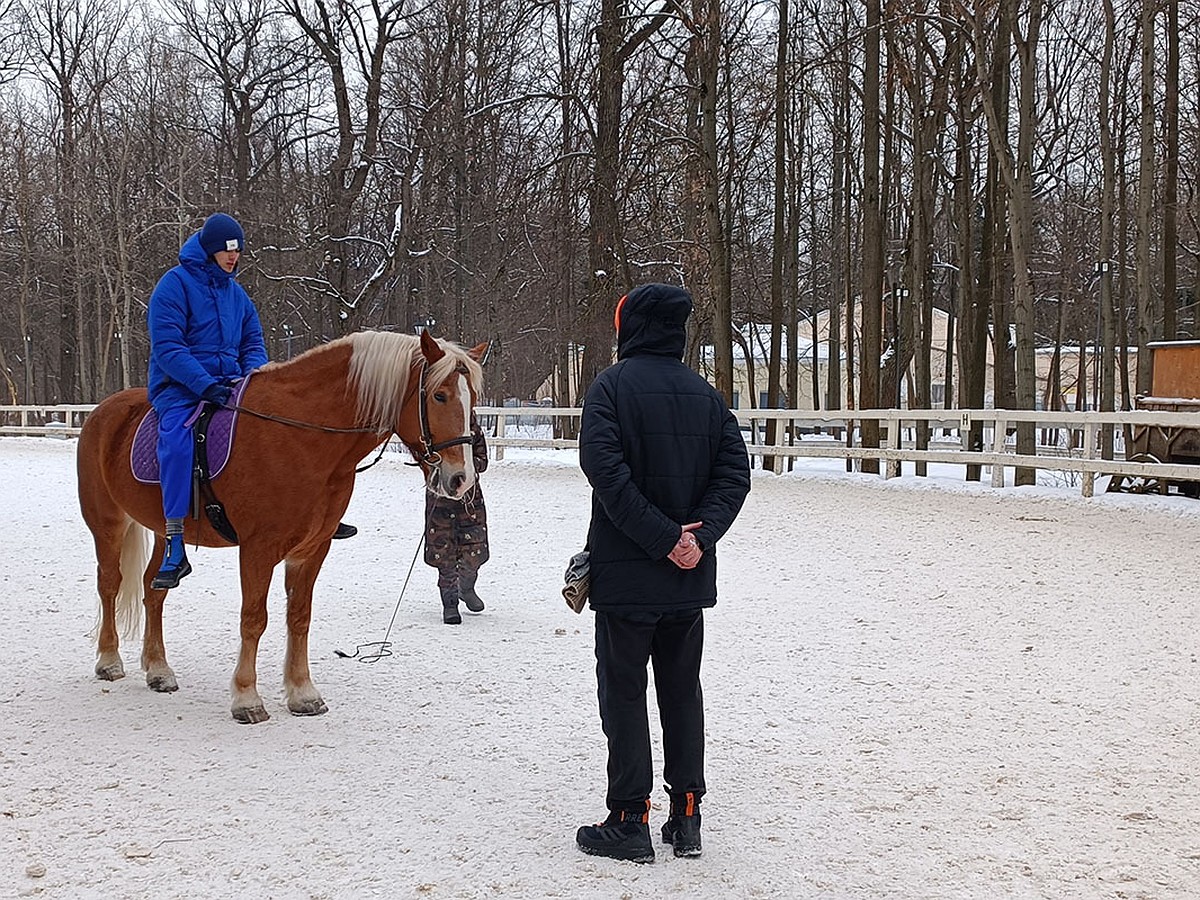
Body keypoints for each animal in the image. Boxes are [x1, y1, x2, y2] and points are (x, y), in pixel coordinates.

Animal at [76, 331, 482, 724]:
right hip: (107, 524)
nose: (461, 478)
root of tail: (103, 411)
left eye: (473, 398)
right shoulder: (258, 549)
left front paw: (303, 693)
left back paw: (158, 669)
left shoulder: (312, 549)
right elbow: (254, 619)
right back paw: (109, 660)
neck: (302, 438)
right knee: (109, 584)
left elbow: (299, 617)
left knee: (153, 589)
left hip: (164, 531)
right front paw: (246, 698)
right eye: (439, 395)